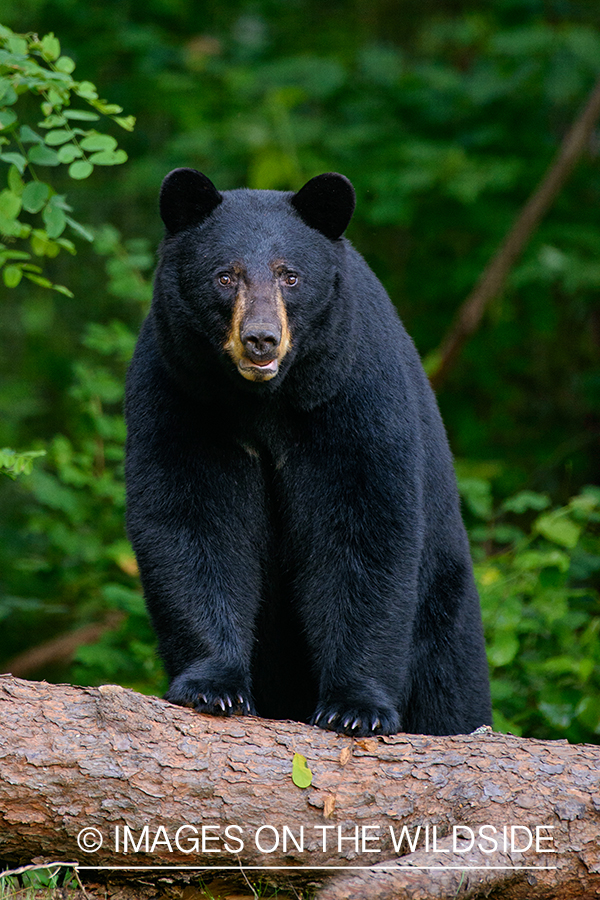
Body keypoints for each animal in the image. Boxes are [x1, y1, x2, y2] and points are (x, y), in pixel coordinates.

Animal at [125, 168, 492, 737]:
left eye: (290, 276)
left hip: (445, 601)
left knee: (451, 685)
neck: (264, 402)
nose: (260, 339)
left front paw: (355, 707)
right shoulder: (182, 394)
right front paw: (213, 686)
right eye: (225, 276)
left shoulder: (351, 394)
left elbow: (363, 529)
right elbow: (191, 521)